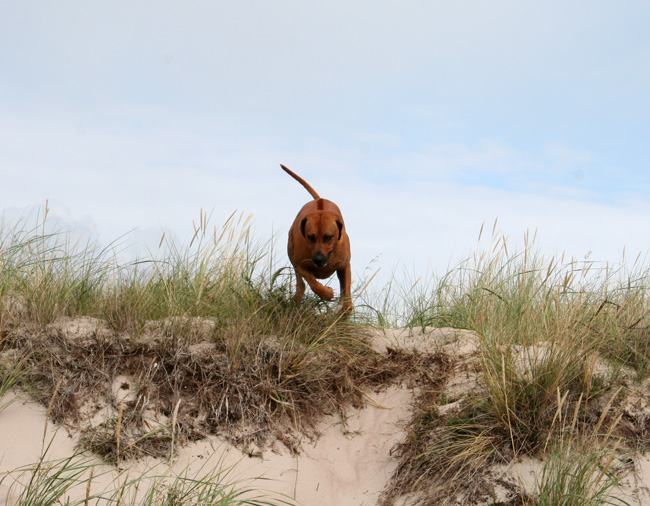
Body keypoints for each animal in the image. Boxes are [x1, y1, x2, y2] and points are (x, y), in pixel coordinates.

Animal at [278, 164, 350, 310]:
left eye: (329, 237)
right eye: (310, 237)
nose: (318, 259)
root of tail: (319, 200)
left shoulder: (345, 265)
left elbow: (347, 295)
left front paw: (345, 311)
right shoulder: (300, 264)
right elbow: (314, 284)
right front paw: (327, 293)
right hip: (291, 250)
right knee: (301, 284)